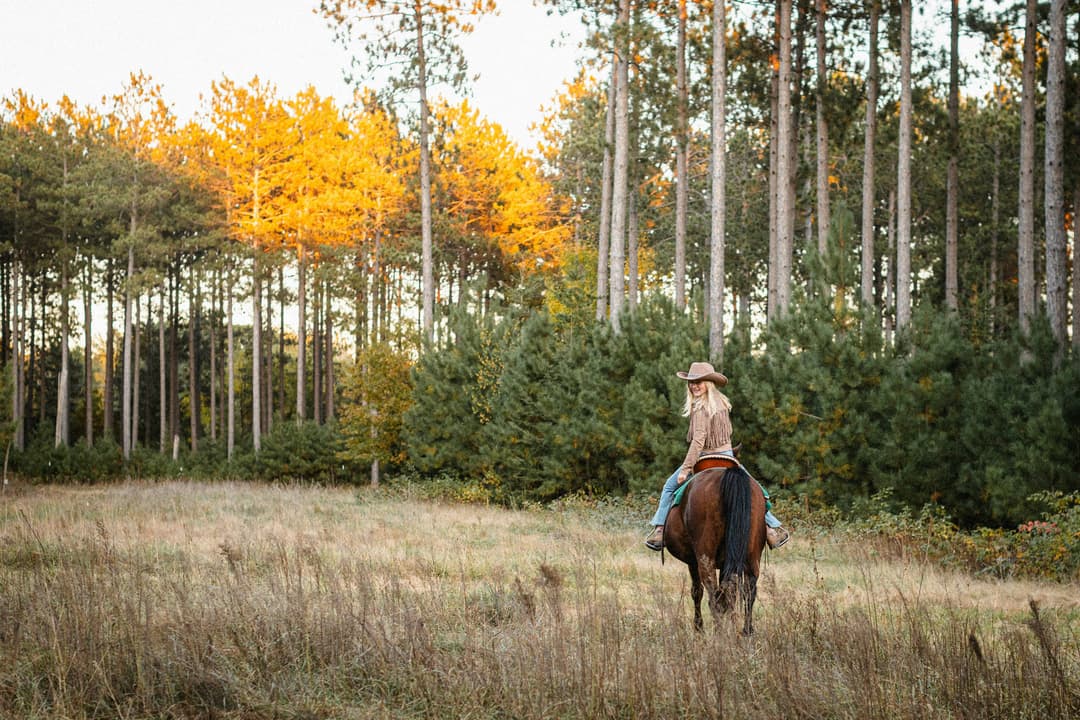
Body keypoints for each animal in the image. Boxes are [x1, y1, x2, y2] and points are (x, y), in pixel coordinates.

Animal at [656, 455, 768, 634]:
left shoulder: (693, 561)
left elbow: (697, 591)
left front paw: (699, 627)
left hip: (705, 558)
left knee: (714, 596)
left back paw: (719, 633)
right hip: (751, 557)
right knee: (746, 592)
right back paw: (746, 631)